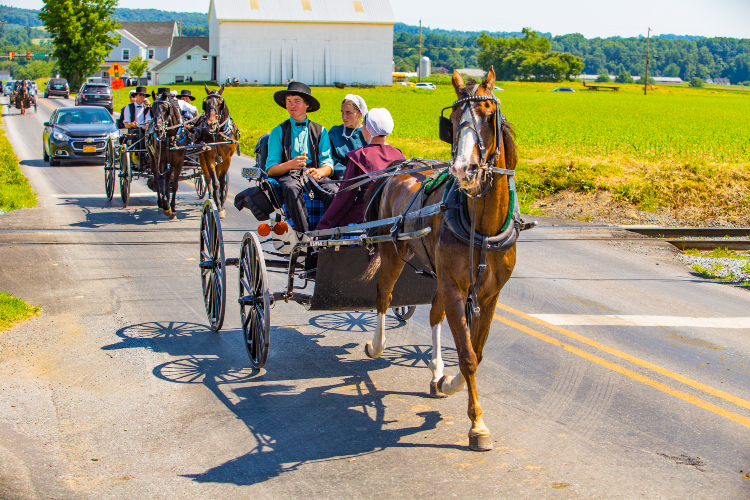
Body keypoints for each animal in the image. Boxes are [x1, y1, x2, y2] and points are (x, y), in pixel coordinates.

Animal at [146, 89, 189, 218]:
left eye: (165, 108)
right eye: (152, 108)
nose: (158, 130)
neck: (170, 136)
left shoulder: (179, 162)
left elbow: (174, 185)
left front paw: (173, 208)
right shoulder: (160, 160)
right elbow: (160, 180)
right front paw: (165, 206)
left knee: (168, 177)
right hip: (152, 159)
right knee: (157, 178)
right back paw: (161, 204)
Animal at [197, 83, 238, 218]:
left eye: (220, 103)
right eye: (206, 103)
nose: (211, 124)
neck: (218, 134)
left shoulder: (227, 158)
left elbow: (222, 182)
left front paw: (222, 204)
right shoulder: (208, 157)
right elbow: (214, 181)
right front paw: (218, 206)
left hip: (219, 160)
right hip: (202, 158)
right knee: (207, 177)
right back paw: (210, 198)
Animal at [364, 64, 524, 452]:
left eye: (489, 114)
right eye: (451, 119)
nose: (464, 169)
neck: (482, 225)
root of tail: (402, 167)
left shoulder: (489, 294)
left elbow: (476, 352)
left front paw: (446, 382)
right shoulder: (455, 287)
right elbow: (466, 356)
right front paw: (477, 425)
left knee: (433, 314)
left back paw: (436, 371)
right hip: (393, 255)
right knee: (383, 297)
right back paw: (377, 345)